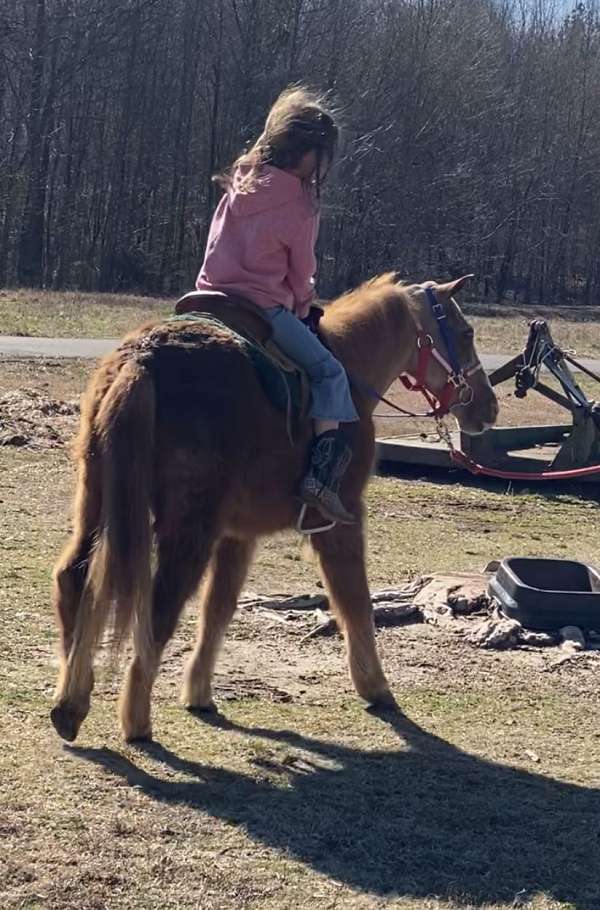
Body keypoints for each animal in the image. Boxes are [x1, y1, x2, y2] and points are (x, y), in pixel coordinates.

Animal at [50, 270, 496, 740]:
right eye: (466, 333)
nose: (488, 406)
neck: (350, 368)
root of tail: (142, 359)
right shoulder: (341, 523)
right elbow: (355, 602)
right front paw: (375, 686)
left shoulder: (237, 535)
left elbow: (218, 610)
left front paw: (199, 692)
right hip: (189, 528)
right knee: (157, 608)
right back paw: (135, 720)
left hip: (98, 501)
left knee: (75, 577)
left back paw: (71, 700)